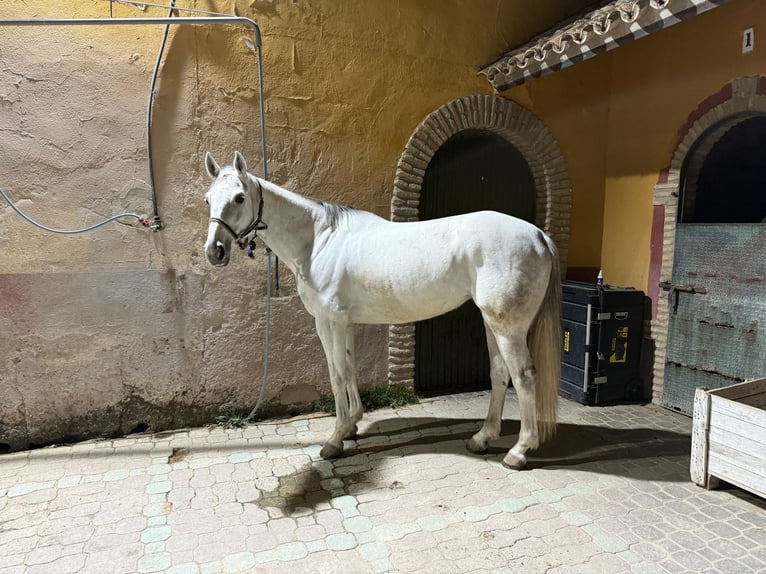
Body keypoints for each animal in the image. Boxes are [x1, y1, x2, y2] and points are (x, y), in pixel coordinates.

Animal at [204, 151, 564, 470]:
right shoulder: (345, 323)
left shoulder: (329, 321)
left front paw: (334, 441)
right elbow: (350, 370)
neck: (318, 241)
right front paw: (351, 426)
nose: (214, 252)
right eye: (208, 199)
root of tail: (538, 235)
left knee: (524, 377)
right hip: (492, 322)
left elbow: (336, 375)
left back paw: (518, 452)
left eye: (239, 198)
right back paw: (482, 438)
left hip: (509, 327)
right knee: (500, 374)